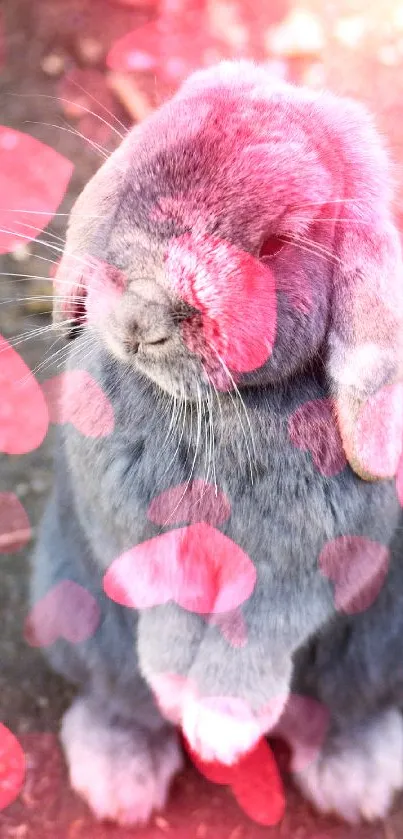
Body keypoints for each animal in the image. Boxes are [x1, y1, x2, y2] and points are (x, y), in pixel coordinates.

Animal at [29, 60, 403, 828]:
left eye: (278, 244)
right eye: (140, 178)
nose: (140, 317)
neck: (214, 413)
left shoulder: (308, 567)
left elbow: (255, 630)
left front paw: (221, 724)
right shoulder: (134, 537)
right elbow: (168, 612)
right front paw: (182, 695)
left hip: (378, 648)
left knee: (348, 709)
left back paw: (354, 778)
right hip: (71, 606)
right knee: (118, 696)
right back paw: (118, 777)